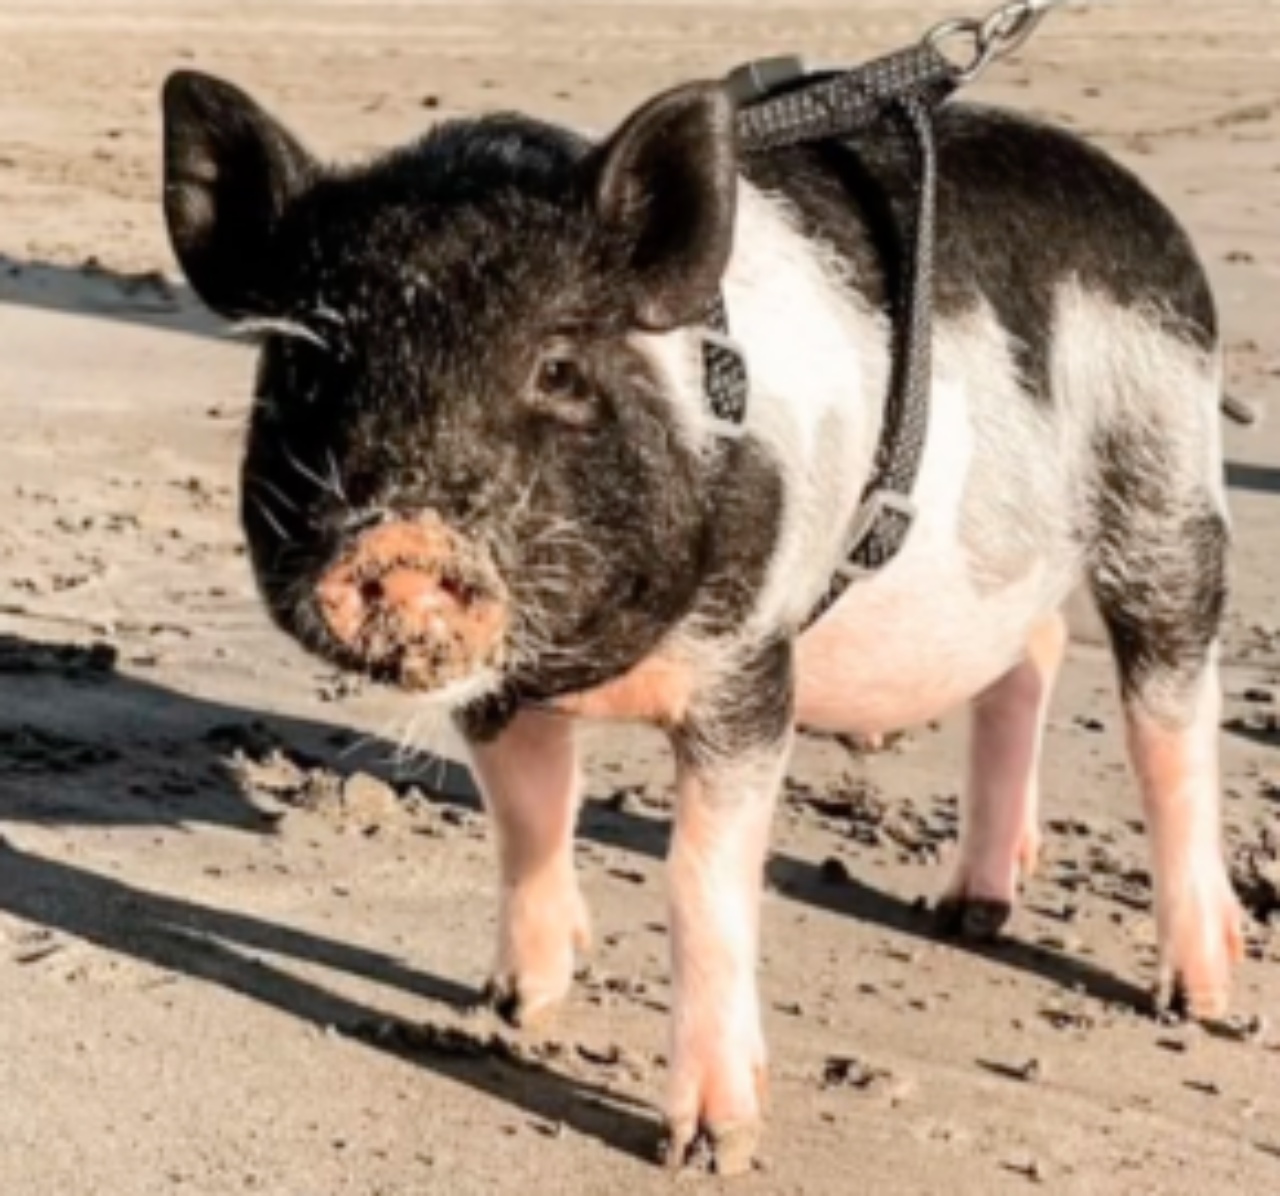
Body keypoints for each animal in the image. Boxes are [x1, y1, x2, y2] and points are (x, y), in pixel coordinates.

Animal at [162, 70, 1249, 1172]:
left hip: (1165, 481)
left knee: (1174, 715)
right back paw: (968, 911)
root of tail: (1145, 212)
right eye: (306, 369)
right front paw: (516, 1006)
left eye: (559, 368)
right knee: (1031, 654)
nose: (403, 543)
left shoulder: (749, 665)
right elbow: (527, 818)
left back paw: (1202, 1001)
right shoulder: (505, 689)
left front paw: (711, 1147)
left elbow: (698, 879)